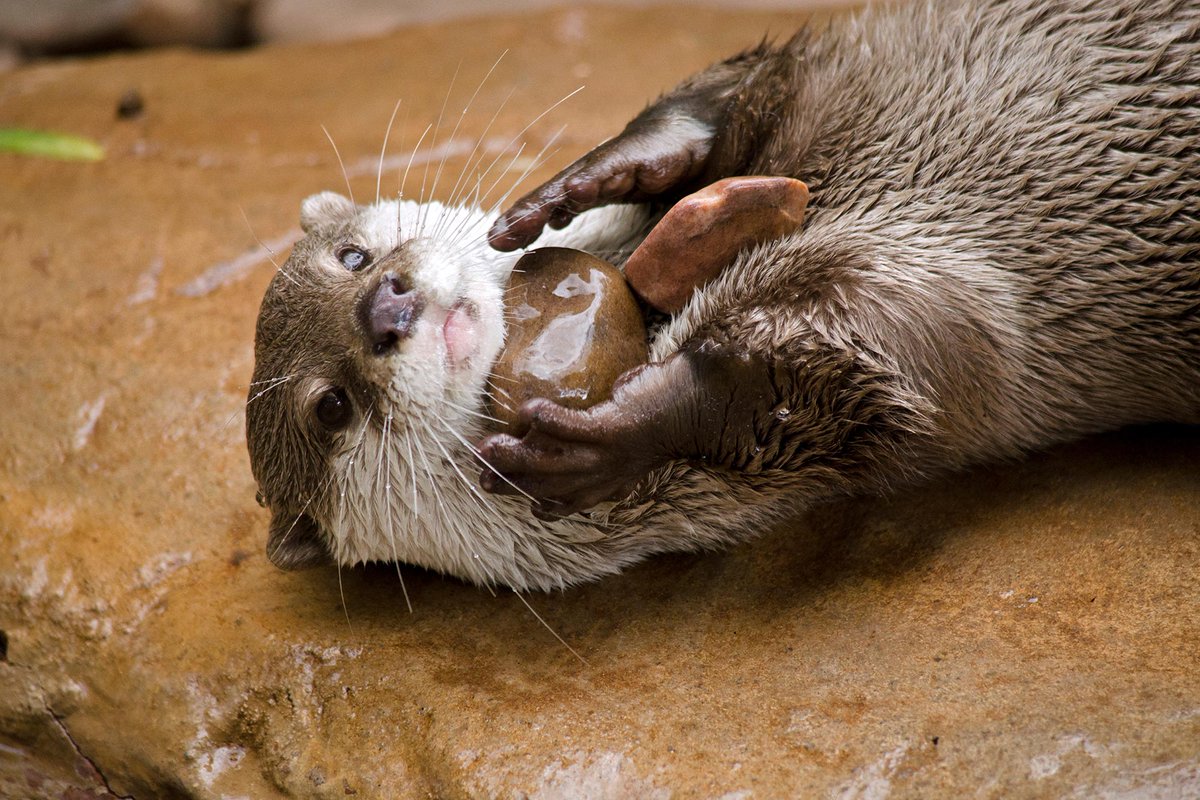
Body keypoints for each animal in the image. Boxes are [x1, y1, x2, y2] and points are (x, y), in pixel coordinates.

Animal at [247, 0, 1200, 591]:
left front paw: (584, 182)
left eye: (354, 255)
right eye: (329, 407)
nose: (388, 307)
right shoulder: (914, 296)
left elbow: (741, 91)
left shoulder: (822, 80)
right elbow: (860, 368)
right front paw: (618, 433)